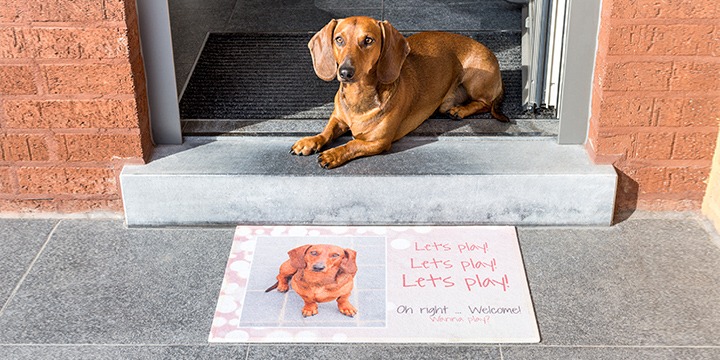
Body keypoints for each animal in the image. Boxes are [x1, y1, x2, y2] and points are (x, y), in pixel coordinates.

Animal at [290, 16, 510, 168]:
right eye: (339, 39)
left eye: (368, 40)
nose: (345, 72)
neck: (359, 97)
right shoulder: (338, 119)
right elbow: (326, 132)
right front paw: (310, 141)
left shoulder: (378, 142)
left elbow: (352, 145)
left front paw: (332, 154)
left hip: (475, 78)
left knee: (485, 103)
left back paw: (460, 110)